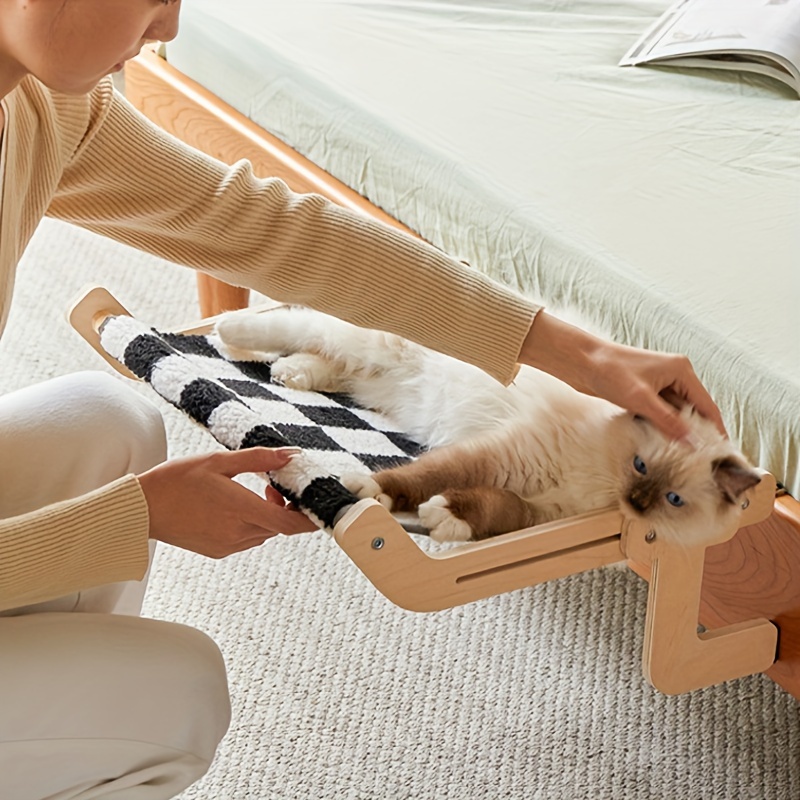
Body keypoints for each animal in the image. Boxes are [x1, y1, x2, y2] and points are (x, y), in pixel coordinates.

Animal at [214, 304, 764, 544]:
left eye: (673, 500)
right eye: (640, 465)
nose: (637, 502)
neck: (600, 485)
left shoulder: (540, 511)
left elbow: (498, 510)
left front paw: (448, 519)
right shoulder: (500, 454)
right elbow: (425, 476)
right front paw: (376, 491)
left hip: (373, 378)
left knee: (323, 360)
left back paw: (290, 373)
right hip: (369, 344)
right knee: (295, 322)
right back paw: (230, 331)